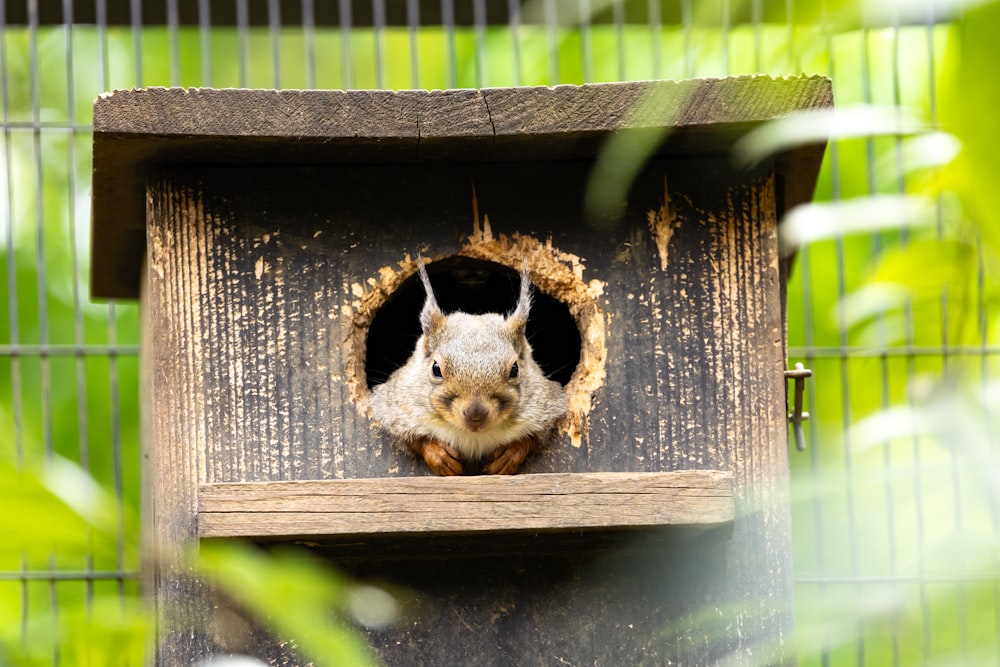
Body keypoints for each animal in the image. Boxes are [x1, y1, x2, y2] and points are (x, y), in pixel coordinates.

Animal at [372, 260, 568, 474]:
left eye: (515, 369)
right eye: (436, 369)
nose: (476, 414)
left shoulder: (547, 405)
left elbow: (534, 437)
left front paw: (509, 456)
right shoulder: (395, 407)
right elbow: (411, 438)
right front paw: (439, 456)